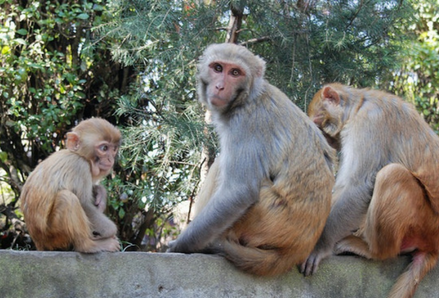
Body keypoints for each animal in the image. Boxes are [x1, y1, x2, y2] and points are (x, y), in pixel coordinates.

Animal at [20, 117, 121, 253]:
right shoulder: (80, 165)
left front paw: (100, 193)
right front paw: (111, 230)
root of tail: (39, 243)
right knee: (67, 198)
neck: (79, 155)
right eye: (104, 148)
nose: (111, 159)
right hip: (53, 237)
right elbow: (84, 204)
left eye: (113, 149)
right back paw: (88, 245)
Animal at [167, 43, 336, 276]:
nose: (220, 86)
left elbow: (239, 191)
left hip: (266, 219)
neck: (248, 96)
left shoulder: (246, 123)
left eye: (235, 73)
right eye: (217, 68)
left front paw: (179, 245)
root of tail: (296, 250)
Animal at [300, 83, 439, 298]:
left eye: (318, 123)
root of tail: (435, 246)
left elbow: (359, 185)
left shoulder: (370, 122)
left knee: (391, 174)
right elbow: (343, 187)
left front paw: (319, 246)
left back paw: (371, 250)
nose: (325, 140)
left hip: (425, 224)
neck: (359, 105)